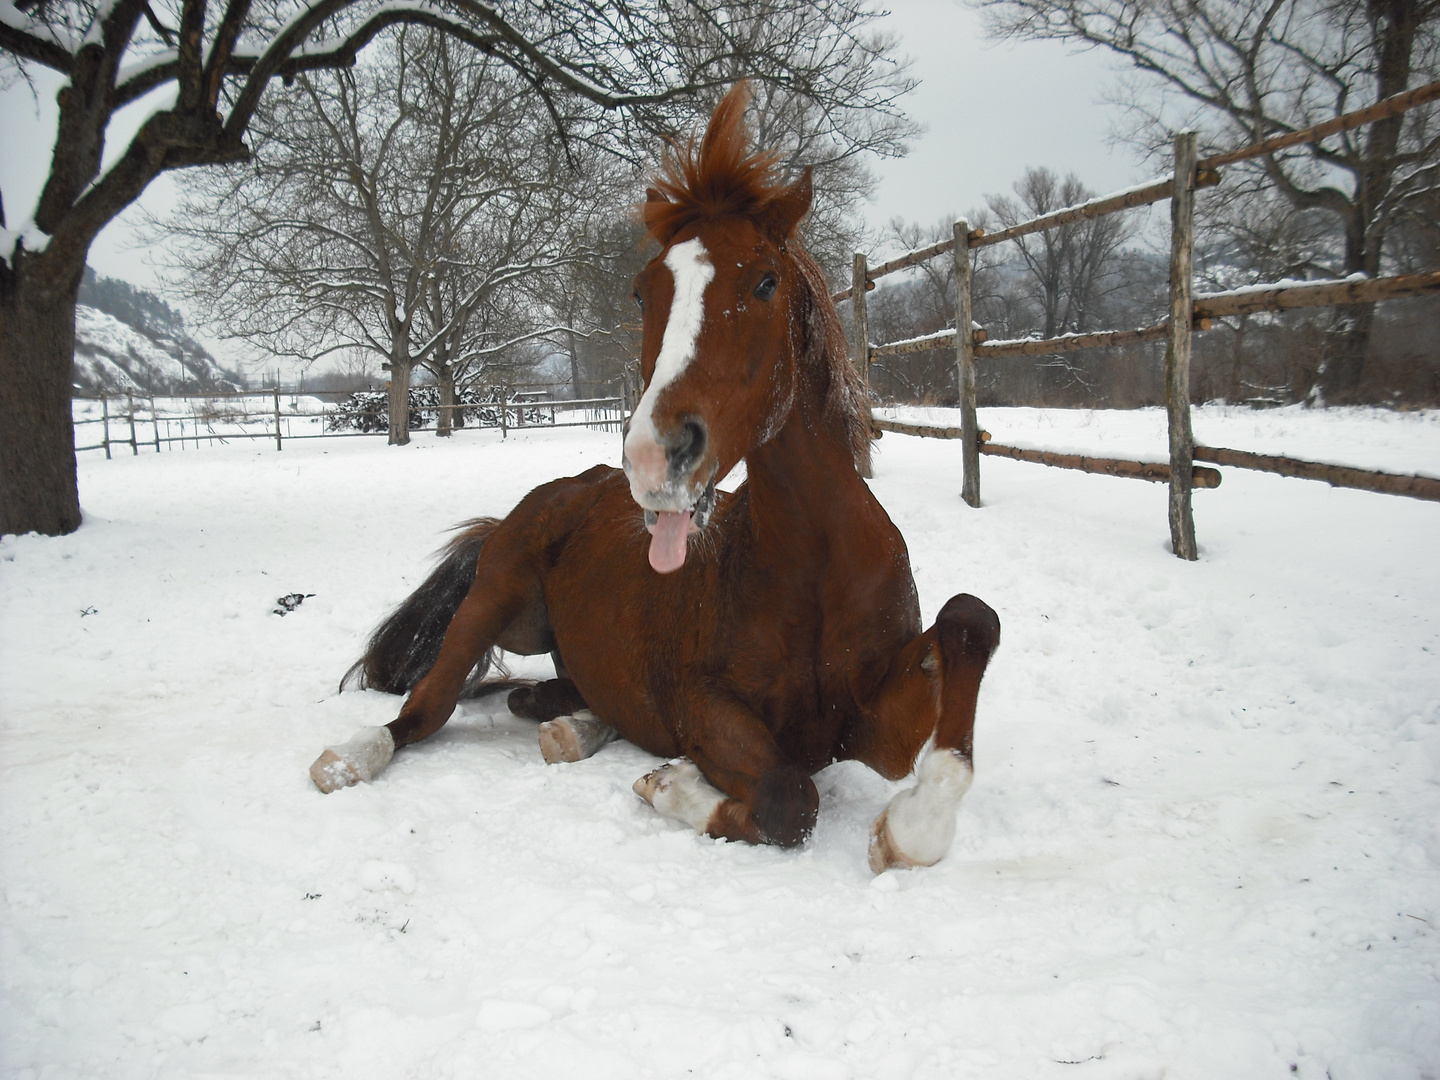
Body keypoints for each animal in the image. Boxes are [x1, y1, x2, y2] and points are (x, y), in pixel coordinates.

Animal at [308, 86, 996, 881]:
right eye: (643, 293)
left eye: (765, 281)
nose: (652, 454)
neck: (818, 562)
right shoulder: (703, 702)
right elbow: (789, 798)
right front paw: (673, 784)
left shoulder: (870, 726)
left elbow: (971, 619)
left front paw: (907, 827)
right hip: (490, 605)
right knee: (420, 714)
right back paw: (347, 760)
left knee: (549, 700)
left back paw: (573, 726)